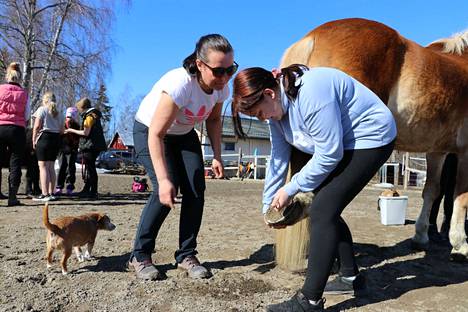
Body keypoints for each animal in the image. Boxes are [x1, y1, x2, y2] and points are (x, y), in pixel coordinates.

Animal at [278, 17, 468, 266]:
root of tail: (312, 37)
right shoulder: (465, 151)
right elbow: (460, 196)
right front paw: (460, 246)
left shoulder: (437, 152)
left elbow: (431, 190)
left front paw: (421, 237)